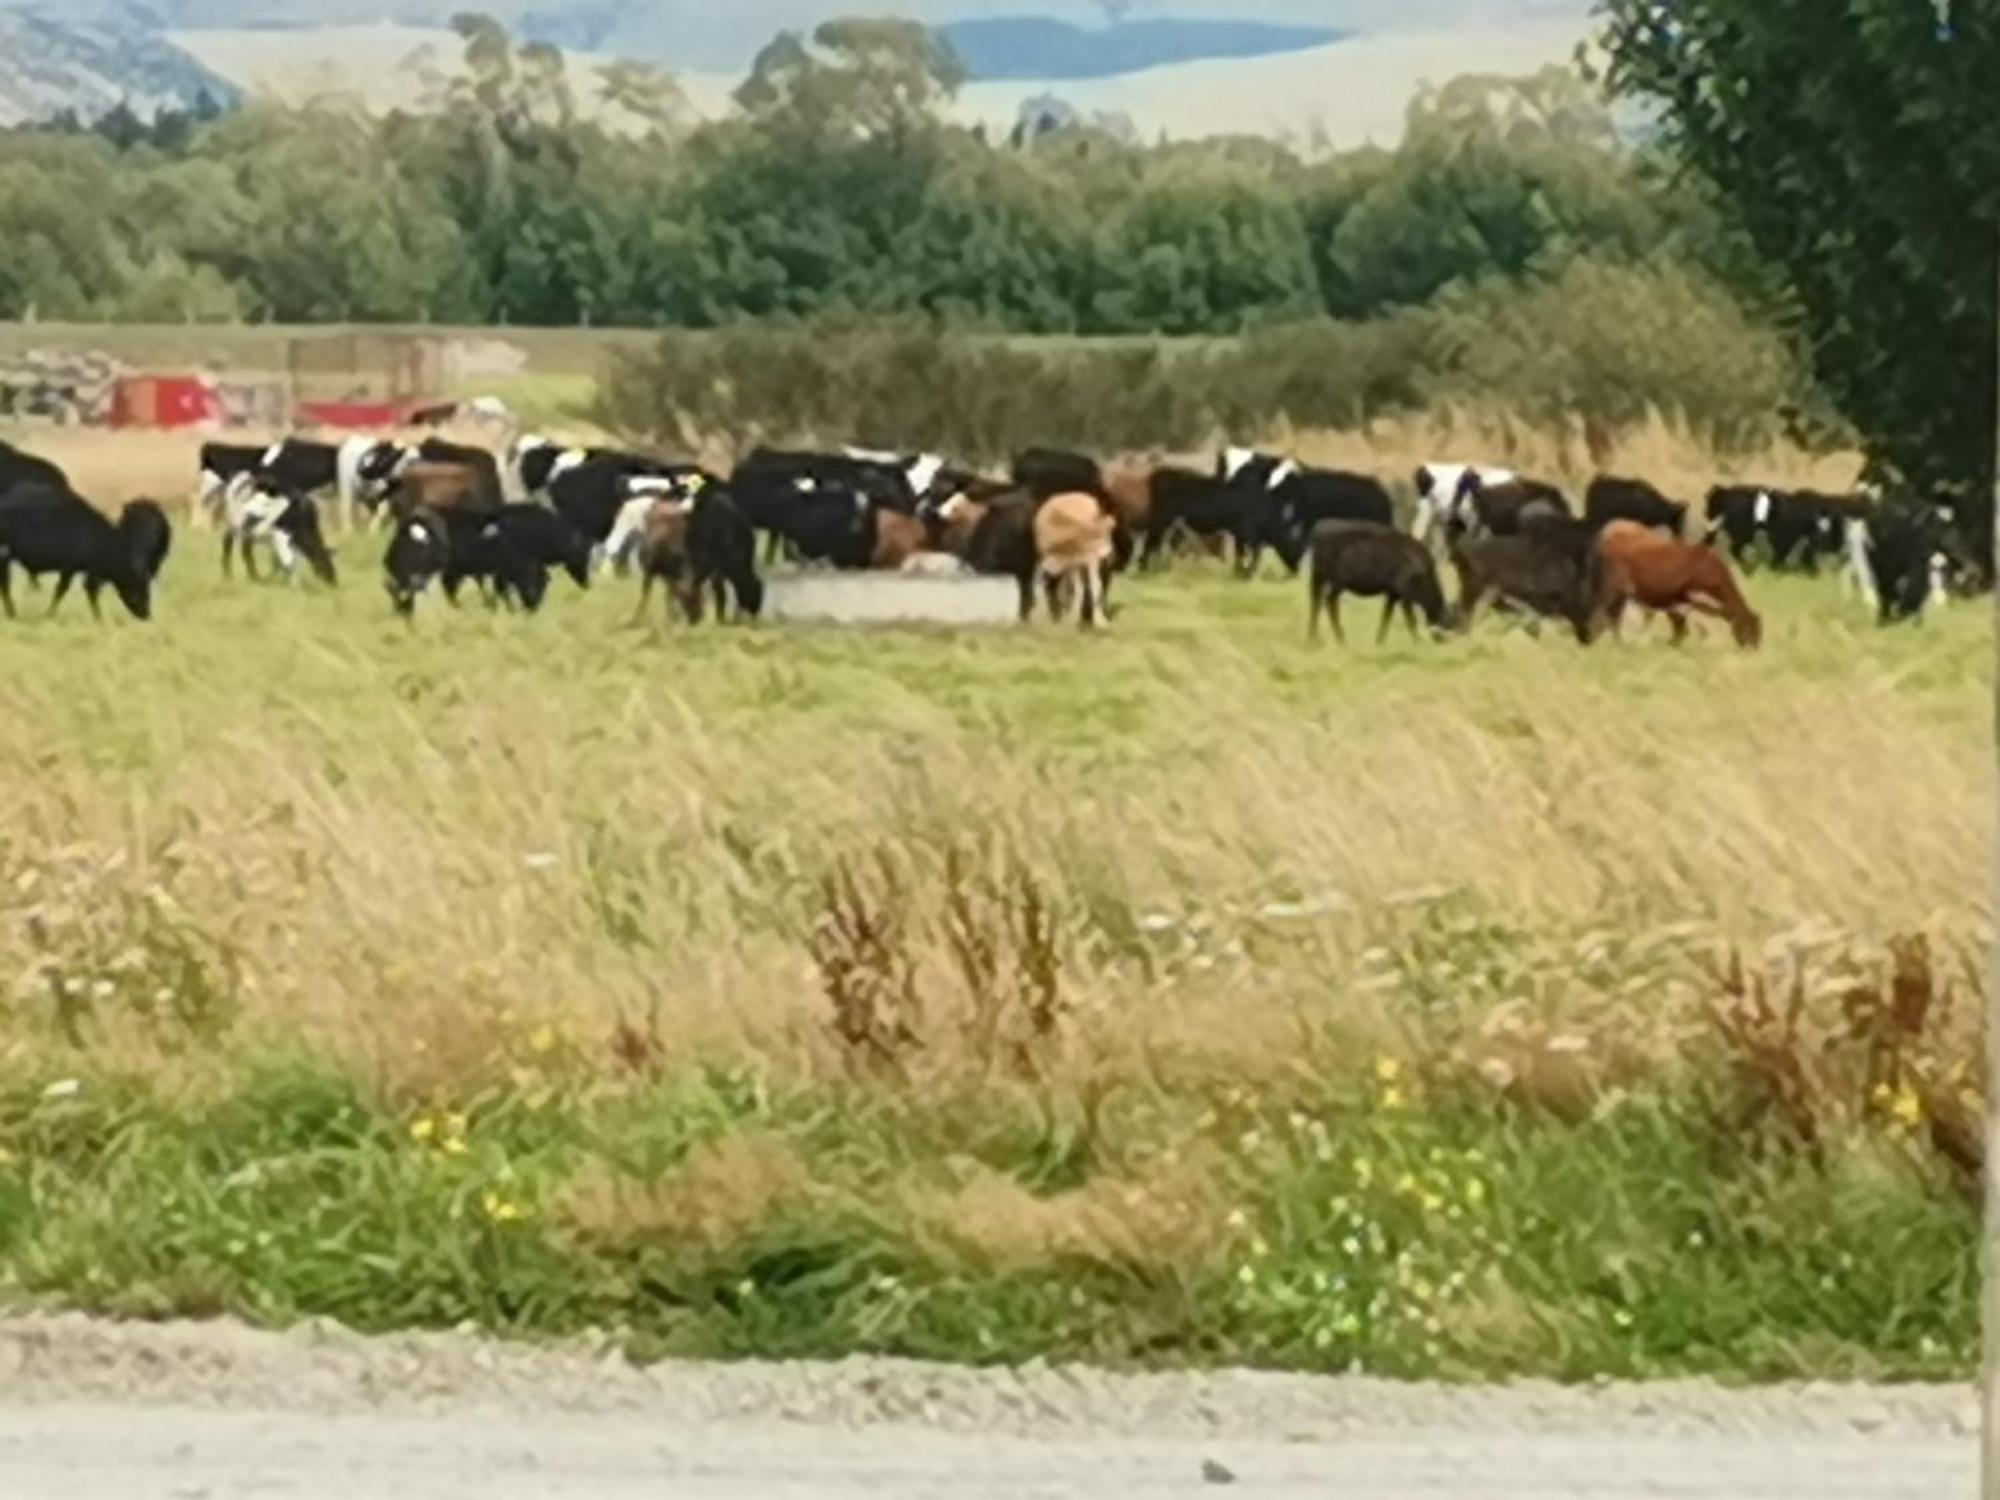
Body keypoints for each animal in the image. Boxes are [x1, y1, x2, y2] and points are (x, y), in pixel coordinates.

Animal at [0, 484, 154, 620]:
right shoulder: (70, 569)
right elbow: (64, 590)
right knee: (5, 584)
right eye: (139, 587)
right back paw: (11, 612)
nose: (146, 615)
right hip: (5, 558)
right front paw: (50, 614)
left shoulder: (83, 571)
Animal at [1304, 524, 1448, 648]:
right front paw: (1418, 643)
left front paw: (1379, 641)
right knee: (1329, 602)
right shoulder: (1405, 595)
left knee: (1316, 603)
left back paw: (1313, 639)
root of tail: (1321, 532)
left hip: (1320, 578)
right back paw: (1340, 639)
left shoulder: (1393, 594)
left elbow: (1386, 617)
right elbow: (1411, 620)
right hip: (1337, 583)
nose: (1441, 640)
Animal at [1592, 520, 1768, 648]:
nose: (1754, 650)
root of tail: (1612, 527)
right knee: (1611, 614)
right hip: (1615, 588)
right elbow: (1681, 630)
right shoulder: (1681, 600)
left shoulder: (1677, 601)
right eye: (1751, 629)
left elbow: (1681, 630)